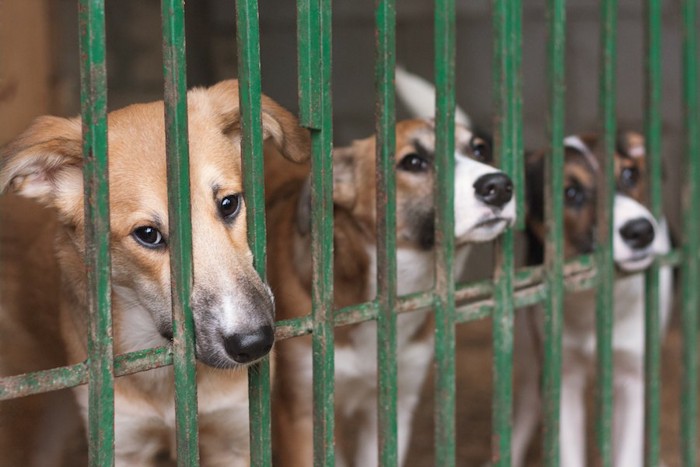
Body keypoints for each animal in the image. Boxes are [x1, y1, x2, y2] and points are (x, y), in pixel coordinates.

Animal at [512, 132, 676, 467]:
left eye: (630, 174)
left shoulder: (632, 376)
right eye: (571, 192)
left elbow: (627, 453)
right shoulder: (562, 376)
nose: (641, 231)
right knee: (526, 409)